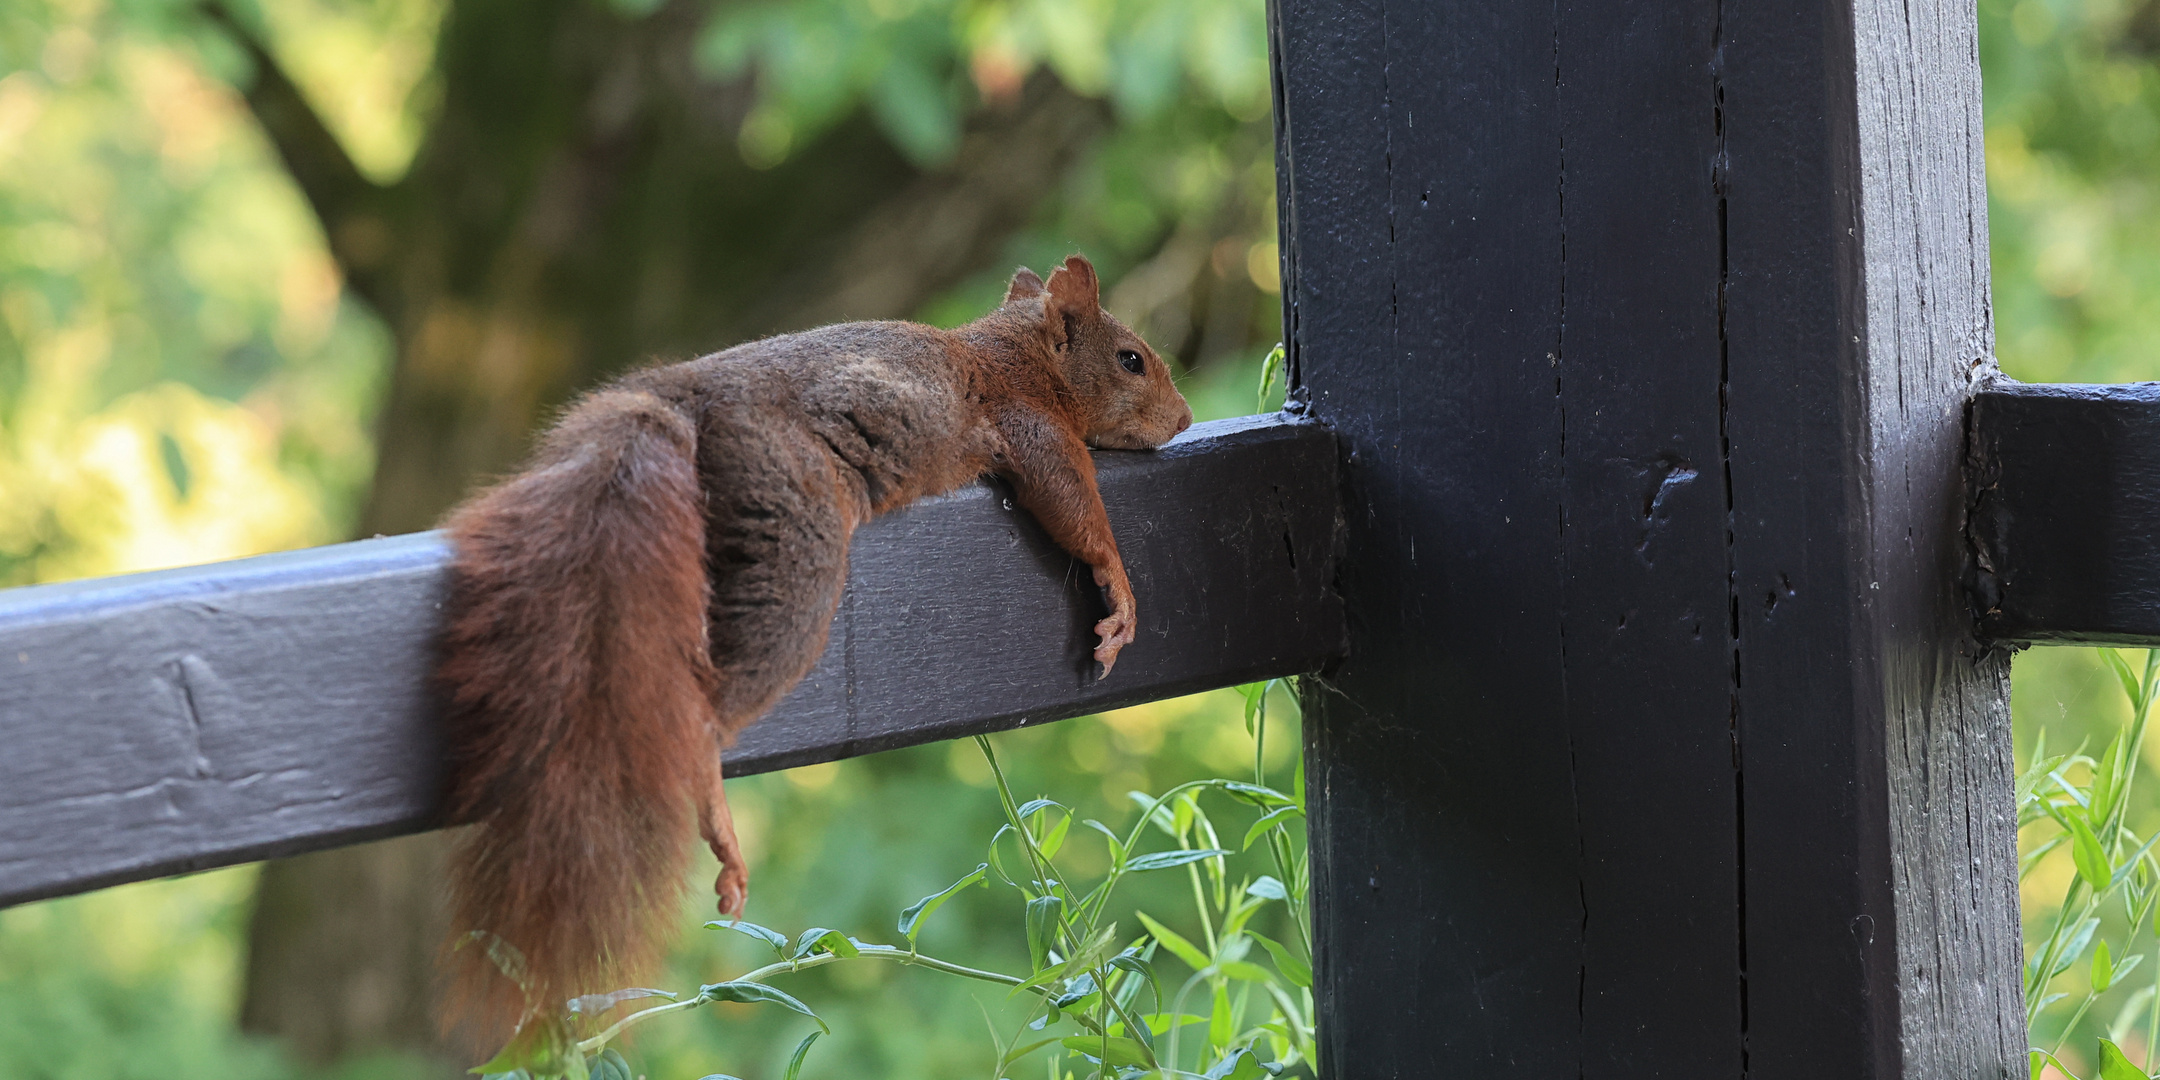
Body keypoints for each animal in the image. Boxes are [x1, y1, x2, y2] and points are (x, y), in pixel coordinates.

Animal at [429, 254, 1192, 1045]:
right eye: (1132, 360)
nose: (1187, 418)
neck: (1006, 352)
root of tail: (683, 399)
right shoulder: (1030, 426)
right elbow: (1072, 503)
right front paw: (1119, 588)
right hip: (794, 527)